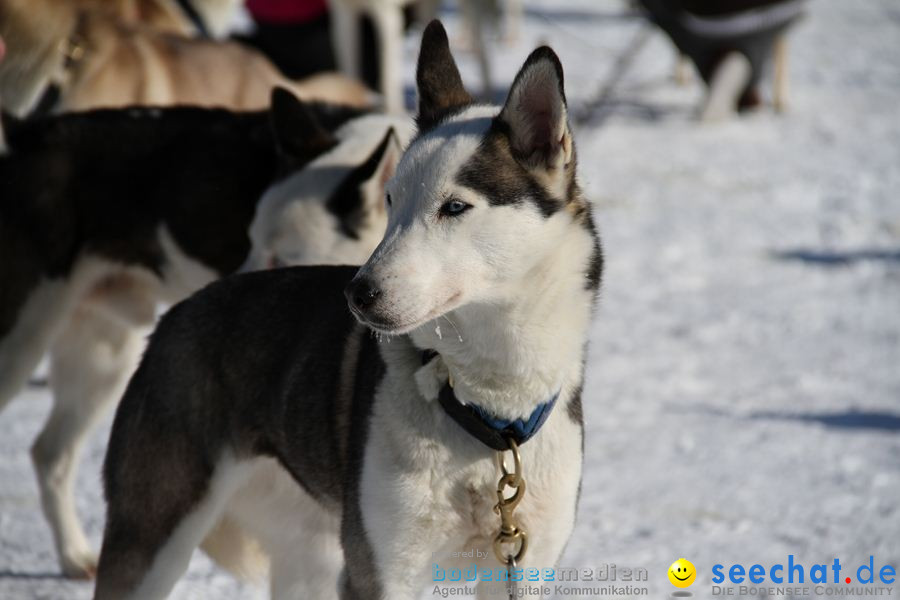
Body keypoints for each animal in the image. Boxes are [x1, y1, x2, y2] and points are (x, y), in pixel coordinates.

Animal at [0, 91, 402, 580]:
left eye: (280, 258)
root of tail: (27, 135)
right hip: (21, 343)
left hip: (106, 357)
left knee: (50, 452)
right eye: (251, 242)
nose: (223, 293)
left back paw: (74, 554)